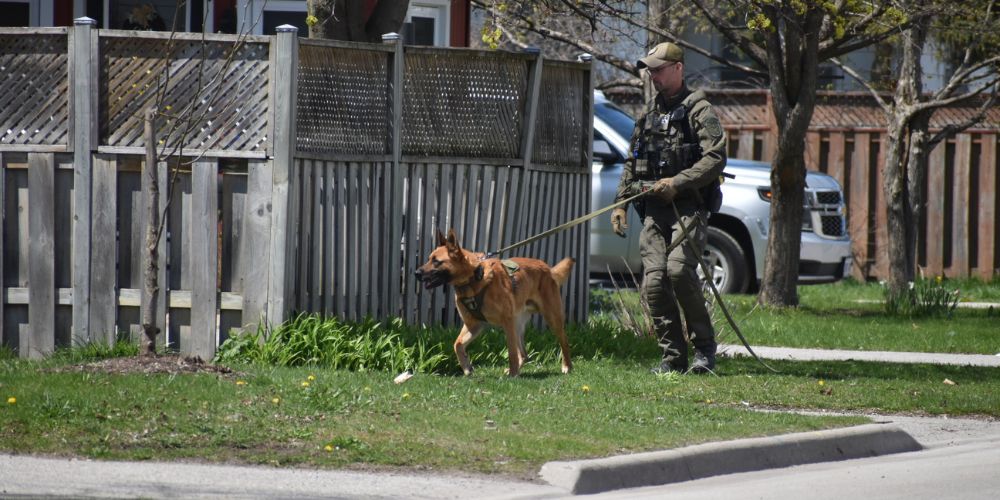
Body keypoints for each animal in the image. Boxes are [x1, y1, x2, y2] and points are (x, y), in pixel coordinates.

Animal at [414, 229, 576, 376]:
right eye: (429, 259)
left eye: (436, 262)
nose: (416, 273)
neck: (473, 278)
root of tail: (547, 269)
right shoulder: (474, 324)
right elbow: (457, 344)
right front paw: (466, 367)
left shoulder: (506, 322)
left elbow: (511, 352)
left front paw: (513, 374)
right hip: (517, 324)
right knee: (523, 354)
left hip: (551, 318)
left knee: (564, 341)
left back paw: (566, 366)